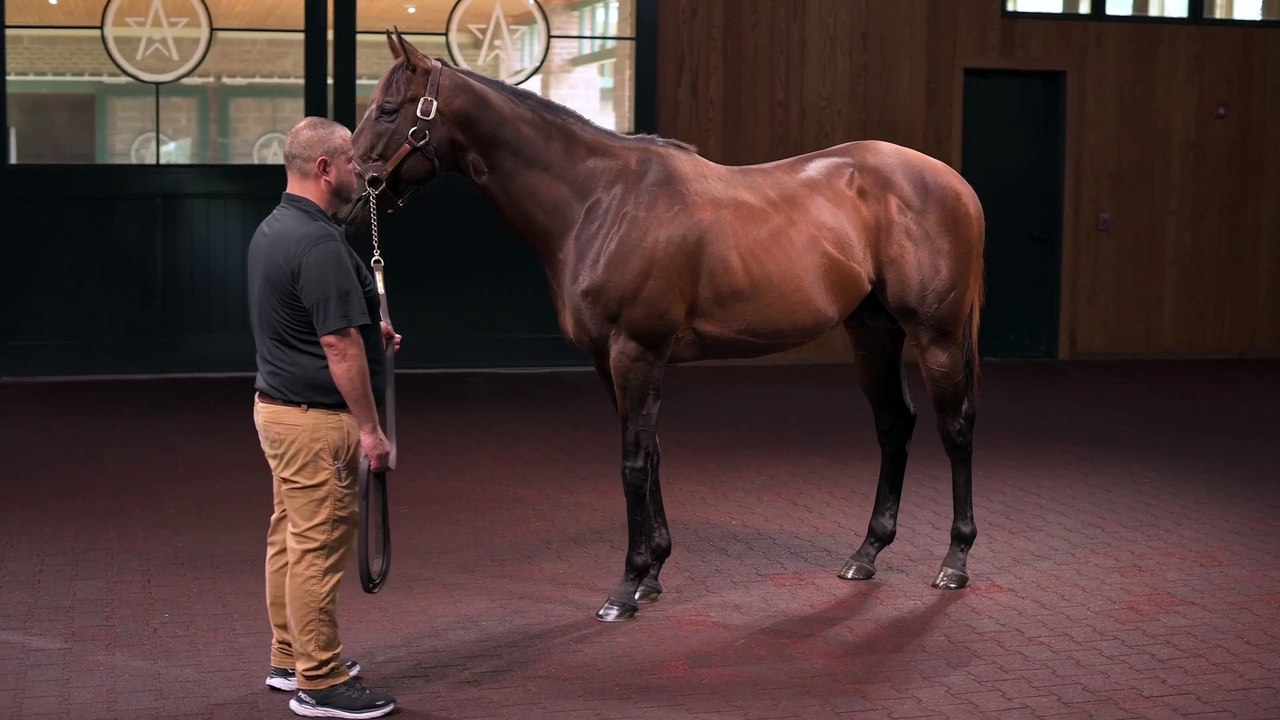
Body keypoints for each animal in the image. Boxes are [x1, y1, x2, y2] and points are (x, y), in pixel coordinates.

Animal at [341, 30, 986, 623]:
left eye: (390, 110)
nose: (347, 189)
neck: (598, 202)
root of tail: (955, 183)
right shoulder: (610, 362)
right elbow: (650, 454)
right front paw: (653, 573)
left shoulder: (638, 352)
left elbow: (632, 462)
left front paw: (626, 587)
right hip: (872, 332)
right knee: (894, 425)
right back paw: (866, 553)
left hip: (937, 335)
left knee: (954, 427)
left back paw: (954, 562)